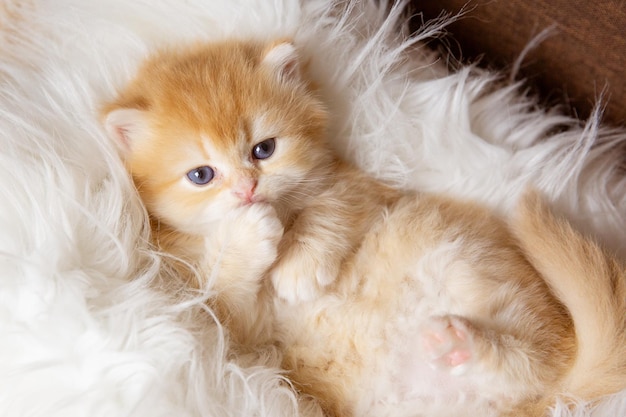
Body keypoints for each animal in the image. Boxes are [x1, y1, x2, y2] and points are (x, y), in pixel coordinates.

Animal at [103, 39, 624, 416]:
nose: (249, 190)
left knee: (534, 361)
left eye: (263, 150)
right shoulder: (231, 327)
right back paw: (459, 351)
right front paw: (248, 234)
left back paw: (465, 345)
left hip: (464, 260)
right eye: (201, 175)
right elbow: (227, 284)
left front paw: (298, 269)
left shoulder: (359, 190)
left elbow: (329, 211)